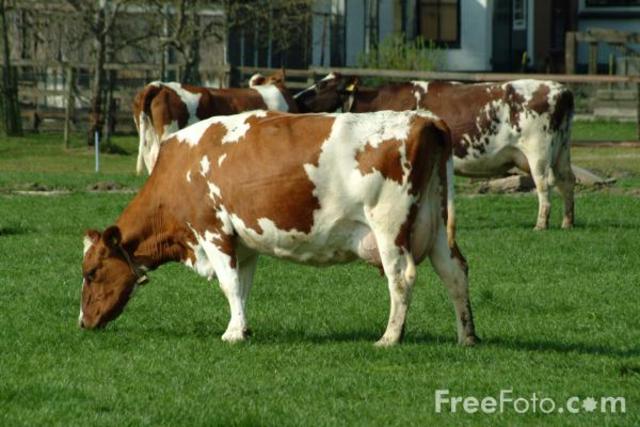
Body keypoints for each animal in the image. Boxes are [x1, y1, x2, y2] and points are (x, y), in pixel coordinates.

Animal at [80, 110, 479, 347]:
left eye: (91, 272)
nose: (83, 322)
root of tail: (424, 118)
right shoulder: (243, 241)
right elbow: (242, 287)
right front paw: (242, 326)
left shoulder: (212, 229)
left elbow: (228, 284)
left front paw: (232, 333)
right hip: (437, 226)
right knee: (455, 272)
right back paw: (467, 336)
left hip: (389, 226)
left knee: (402, 277)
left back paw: (390, 337)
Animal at [295, 73, 576, 230]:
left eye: (322, 86)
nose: (297, 99)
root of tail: (561, 89)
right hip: (561, 150)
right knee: (567, 181)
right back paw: (567, 222)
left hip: (538, 151)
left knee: (544, 185)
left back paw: (541, 224)